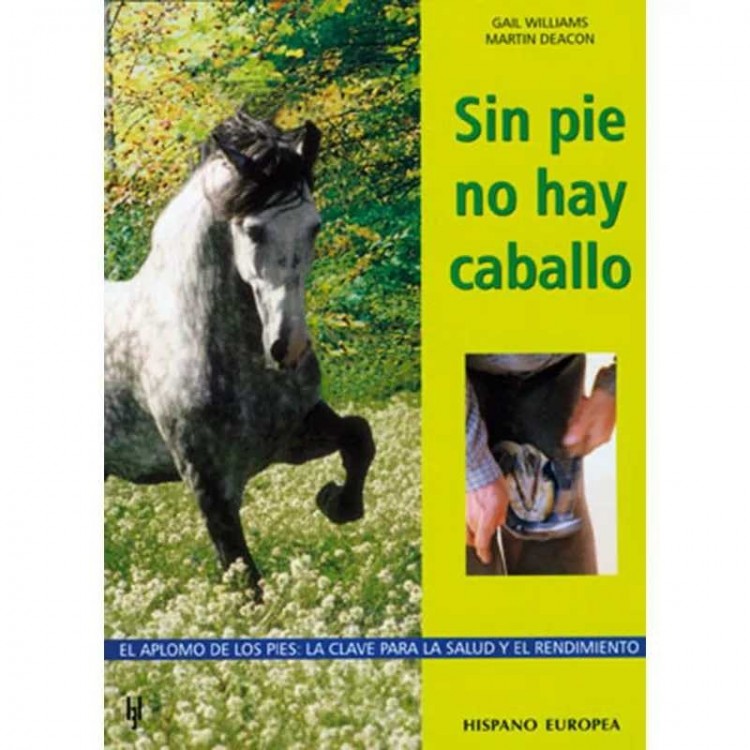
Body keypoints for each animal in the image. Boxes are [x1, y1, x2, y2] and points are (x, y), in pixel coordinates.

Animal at [104, 112, 375, 600]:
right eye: (253, 229)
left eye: (314, 225)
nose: (289, 346)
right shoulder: (210, 484)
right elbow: (243, 575)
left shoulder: (291, 437)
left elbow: (359, 436)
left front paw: (337, 503)